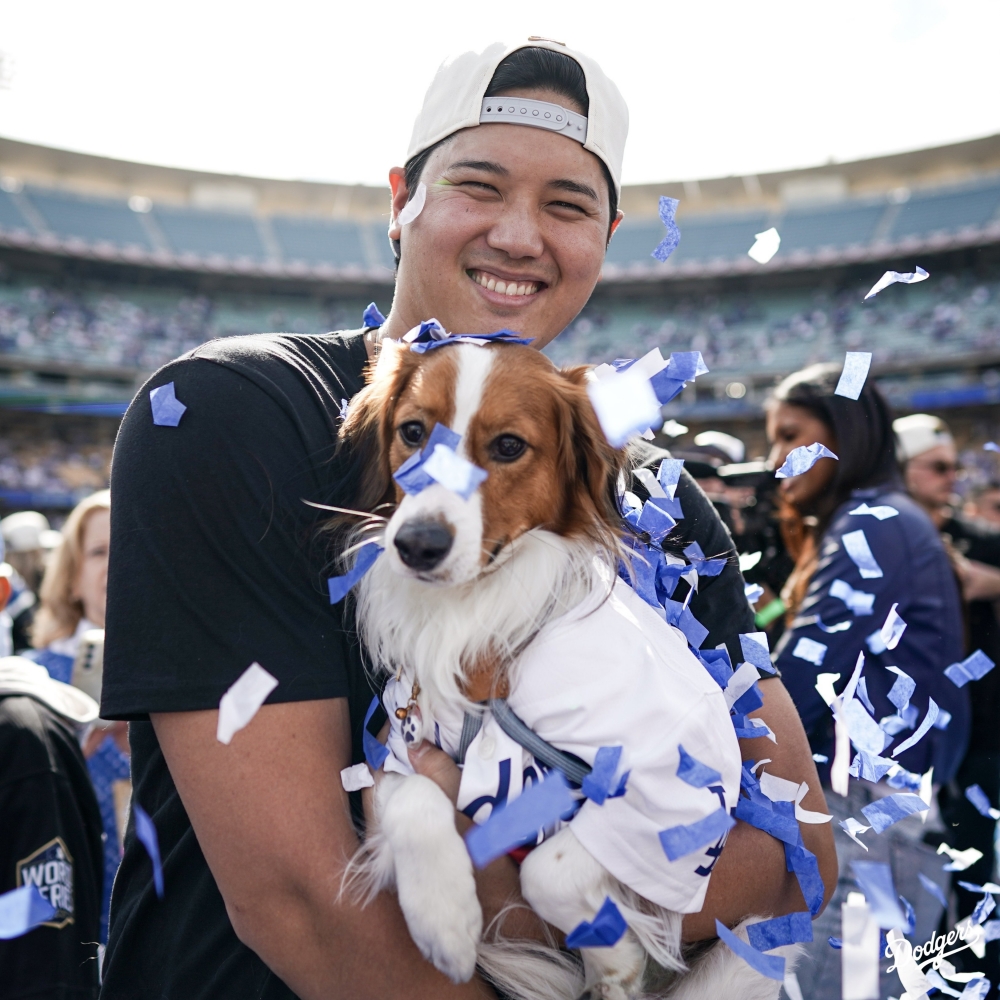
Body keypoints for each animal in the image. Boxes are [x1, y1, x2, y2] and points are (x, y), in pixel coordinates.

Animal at [338, 342, 796, 1000]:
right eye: (413, 432)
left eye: (508, 446)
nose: (416, 545)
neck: (485, 619)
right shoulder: (401, 743)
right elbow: (410, 798)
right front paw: (443, 920)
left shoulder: (686, 781)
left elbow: (549, 870)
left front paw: (613, 953)